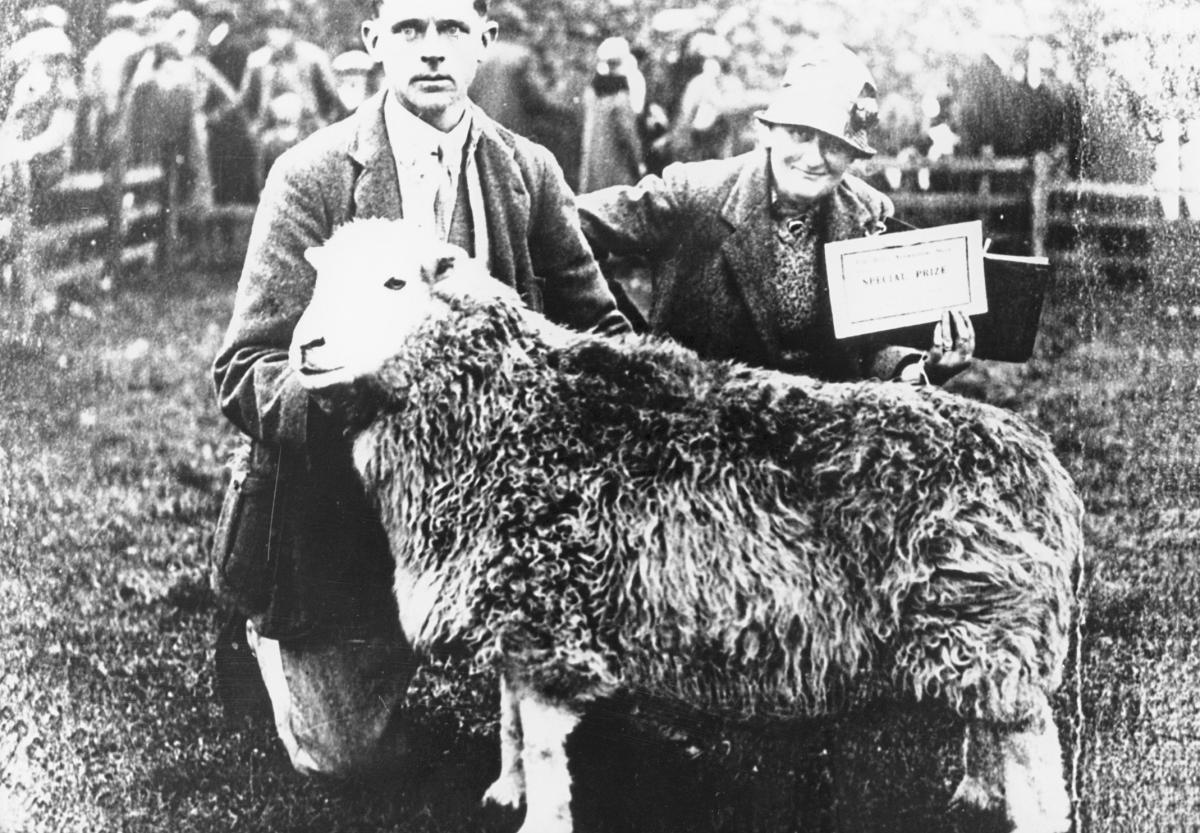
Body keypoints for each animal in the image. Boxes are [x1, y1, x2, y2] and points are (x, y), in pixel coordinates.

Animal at [288, 218, 1080, 833]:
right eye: (321, 281)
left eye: (394, 284)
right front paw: (505, 790)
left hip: (990, 622)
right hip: (974, 624)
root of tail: (1041, 463)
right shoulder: (519, 607)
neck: (506, 410)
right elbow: (510, 715)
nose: (304, 348)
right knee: (989, 719)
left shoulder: (553, 616)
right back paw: (977, 791)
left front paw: (538, 813)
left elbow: (541, 741)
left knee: (1031, 742)